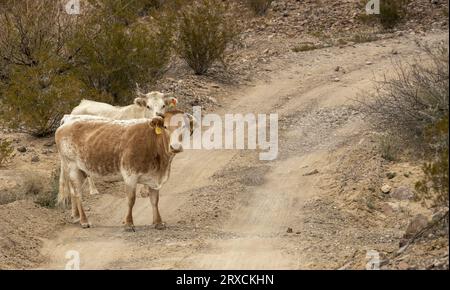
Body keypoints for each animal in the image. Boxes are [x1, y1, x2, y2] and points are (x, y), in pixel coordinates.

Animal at [55, 111, 192, 231]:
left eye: (184, 127)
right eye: (165, 126)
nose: (175, 147)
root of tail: (68, 120)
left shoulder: (154, 179)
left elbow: (154, 200)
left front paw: (158, 223)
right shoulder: (130, 175)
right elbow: (131, 200)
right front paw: (129, 224)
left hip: (79, 169)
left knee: (72, 191)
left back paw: (76, 217)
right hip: (72, 166)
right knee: (78, 193)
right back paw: (84, 221)